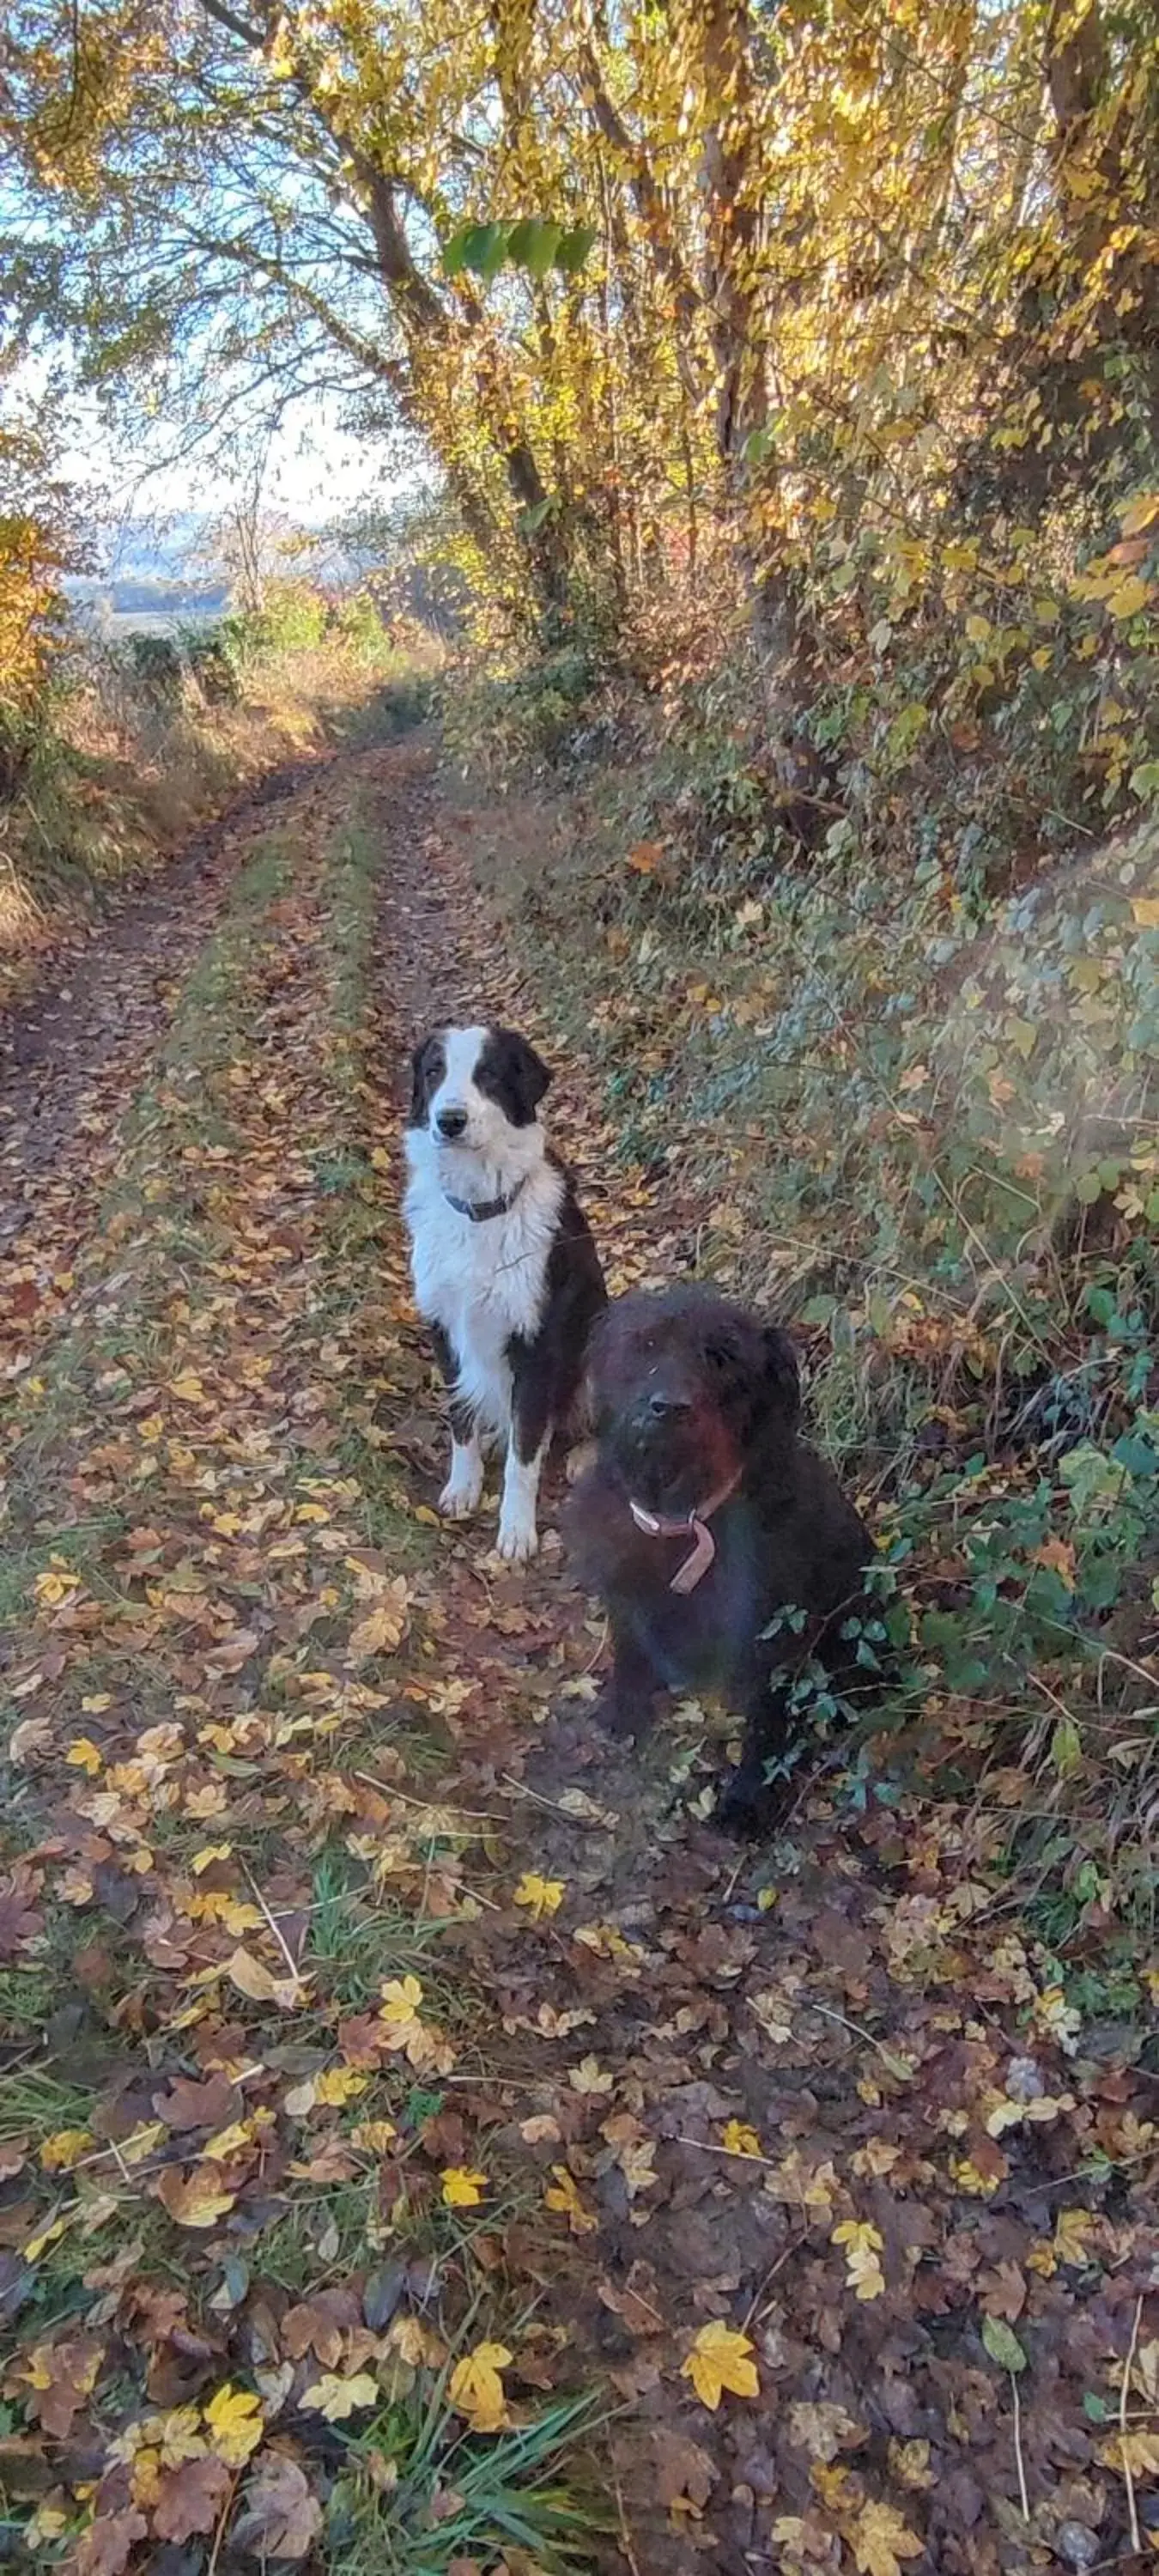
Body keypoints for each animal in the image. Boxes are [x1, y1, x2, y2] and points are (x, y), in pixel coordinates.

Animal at [402, 1020, 608, 1546]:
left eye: (489, 1074)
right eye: (434, 1071)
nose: (450, 1120)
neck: (479, 1210)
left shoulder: (536, 1344)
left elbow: (525, 1456)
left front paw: (516, 1530)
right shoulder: (445, 1329)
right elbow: (462, 1421)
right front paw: (464, 1485)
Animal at [567, 1288, 876, 1834]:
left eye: (722, 1357)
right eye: (646, 1343)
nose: (669, 1408)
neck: (682, 1517)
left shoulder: (772, 1636)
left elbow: (768, 1723)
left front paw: (748, 1799)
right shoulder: (625, 1595)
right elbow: (630, 1651)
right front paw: (623, 1709)